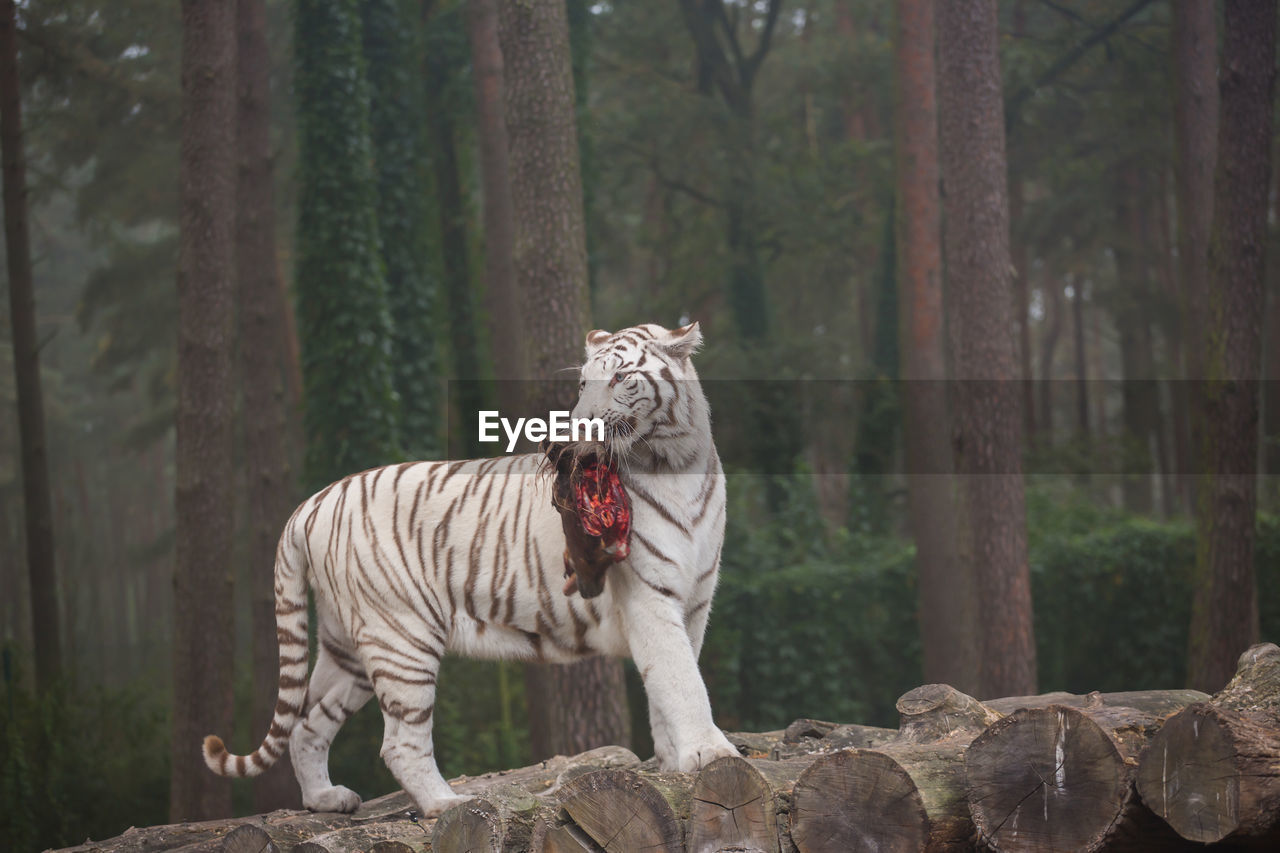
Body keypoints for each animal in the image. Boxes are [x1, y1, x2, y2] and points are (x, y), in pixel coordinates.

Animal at [203, 322, 737, 814]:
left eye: (622, 378)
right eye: (584, 382)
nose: (575, 430)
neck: (676, 462)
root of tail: (310, 504)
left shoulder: (693, 602)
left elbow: (667, 684)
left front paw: (673, 761)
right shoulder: (648, 596)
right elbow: (682, 680)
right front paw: (710, 753)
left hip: (346, 647)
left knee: (306, 723)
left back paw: (326, 798)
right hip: (402, 638)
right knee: (398, 743)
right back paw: (447, 804)